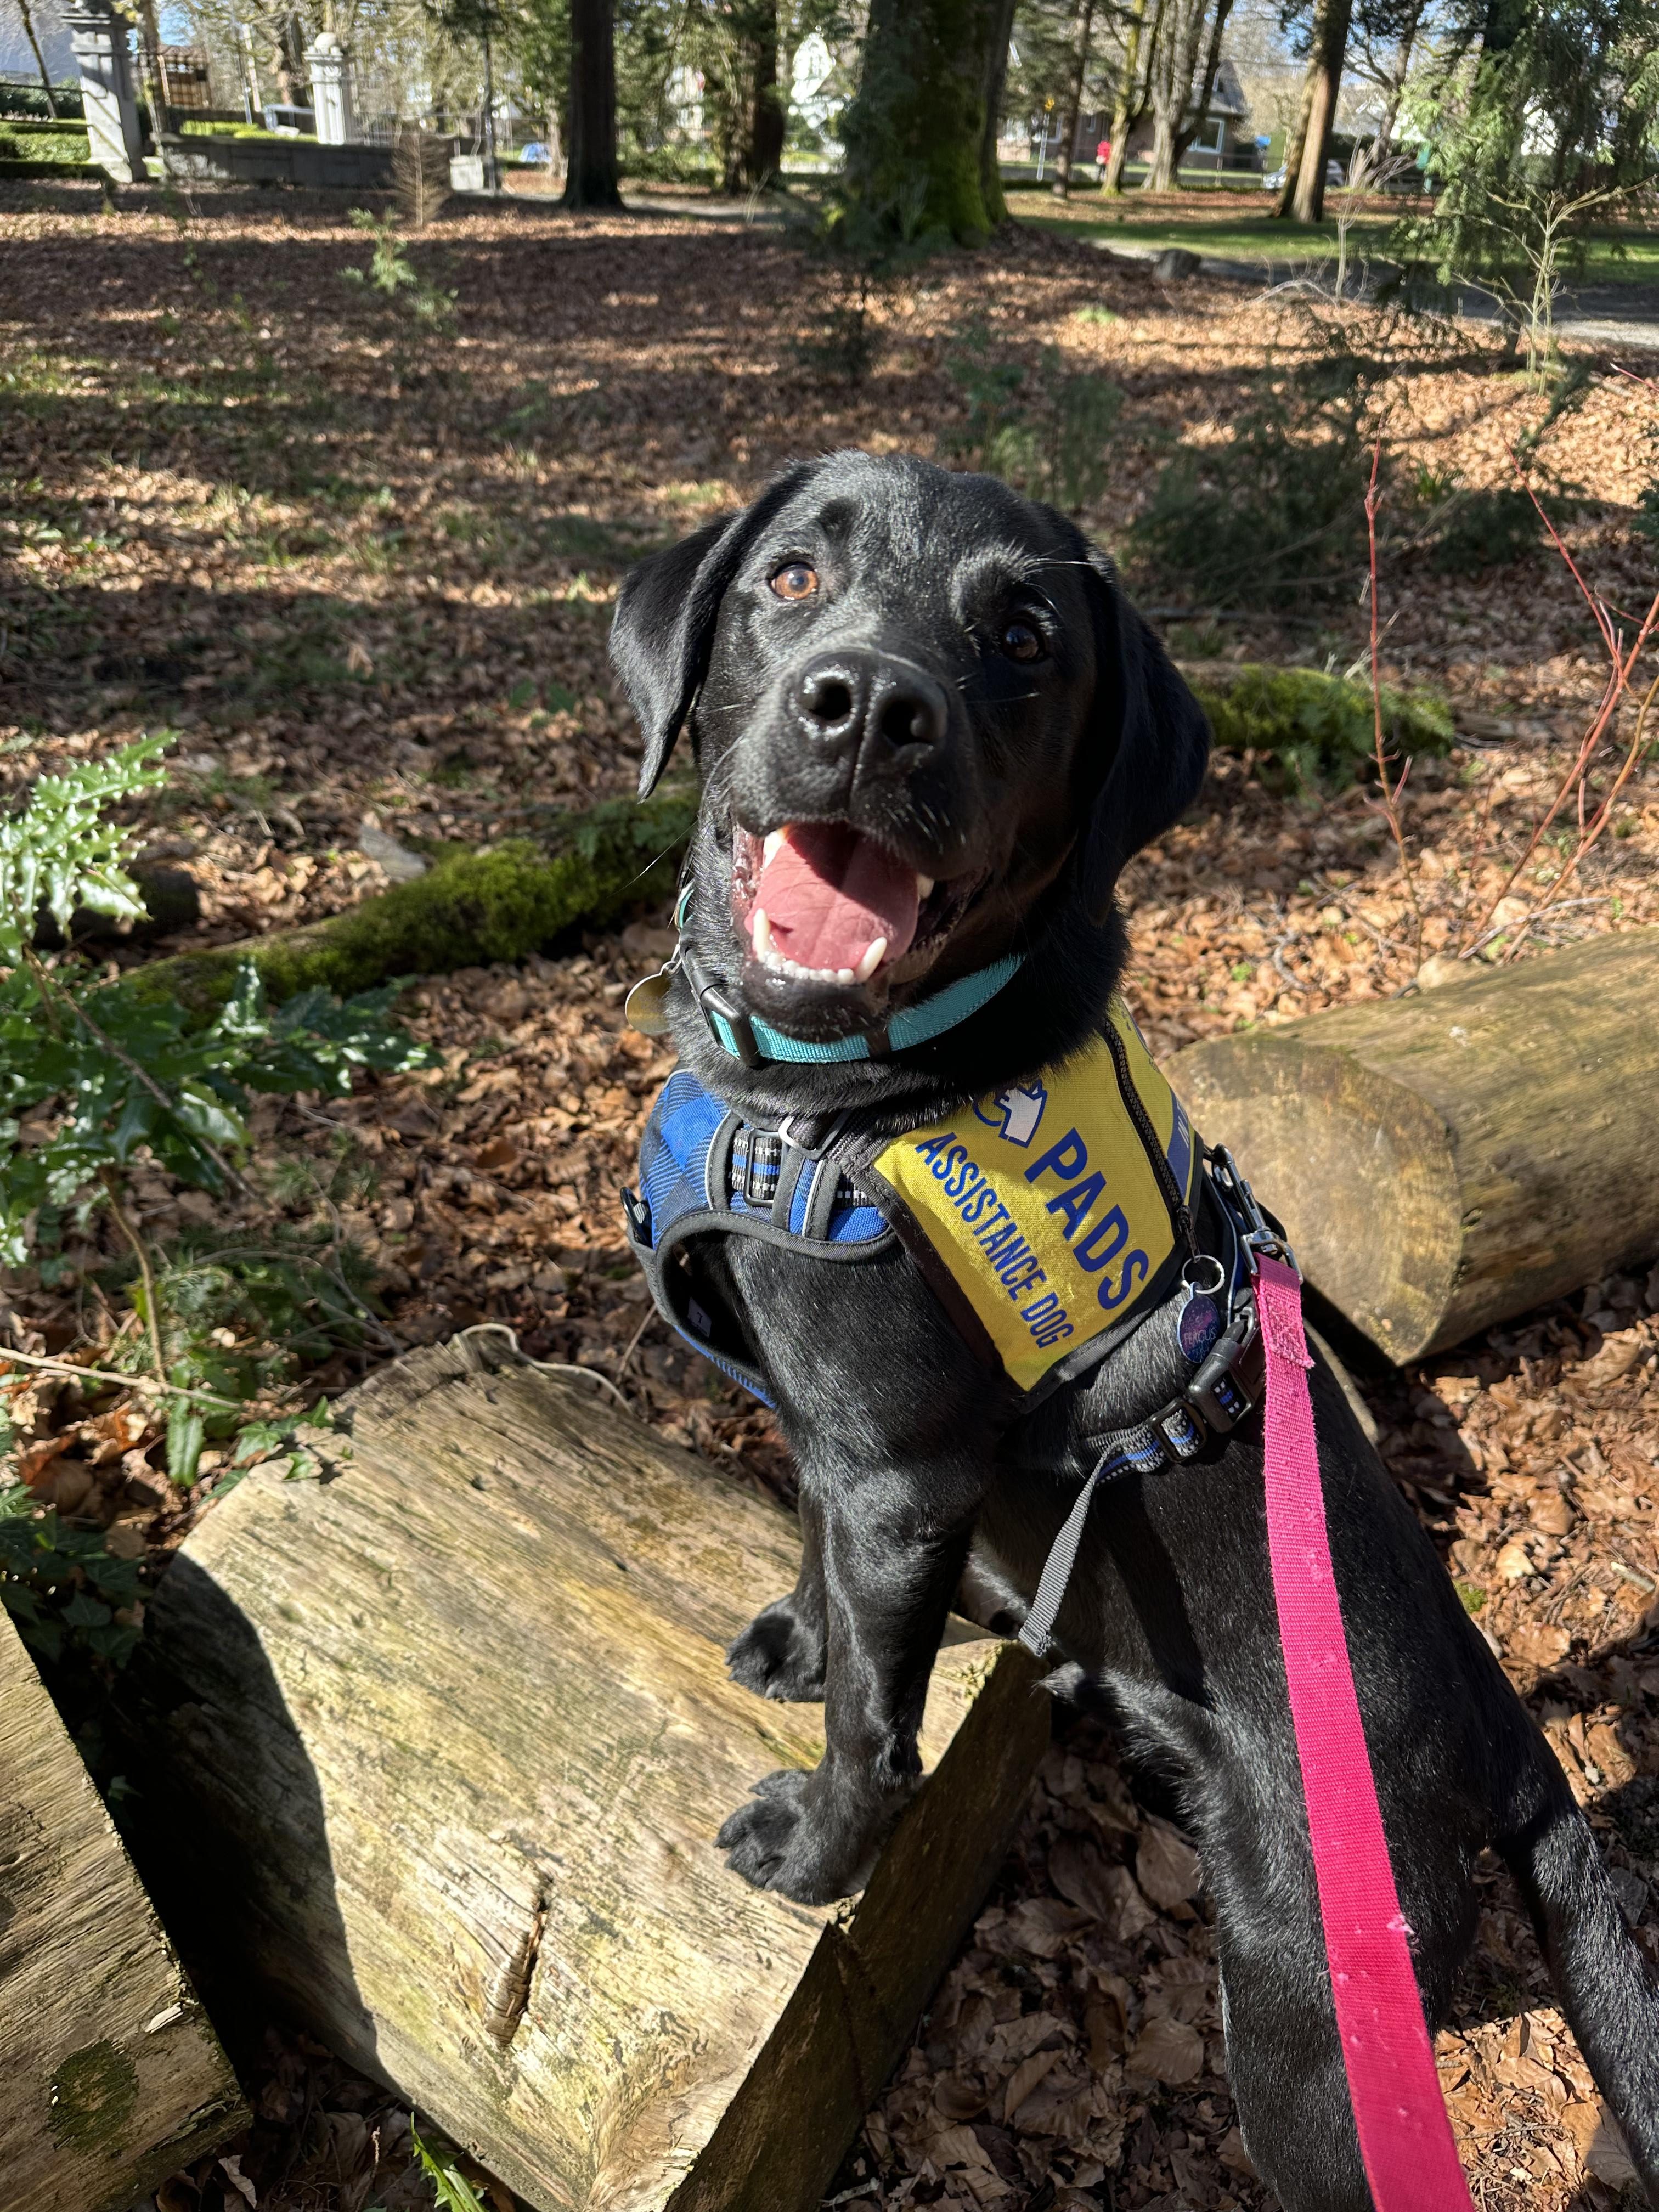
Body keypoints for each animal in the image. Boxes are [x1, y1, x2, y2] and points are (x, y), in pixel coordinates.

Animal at [609, 450, 1659, 2210]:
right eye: (789, 576)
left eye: (1026, 637)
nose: (870, 707)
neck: (835, 1098)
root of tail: (1510, 1741)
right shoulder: (845, 1451)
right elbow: (826, 1581)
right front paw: (797, 1643)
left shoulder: (897, 1468)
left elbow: (877, 1731)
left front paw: (817, 1856)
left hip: (1308, 2025)